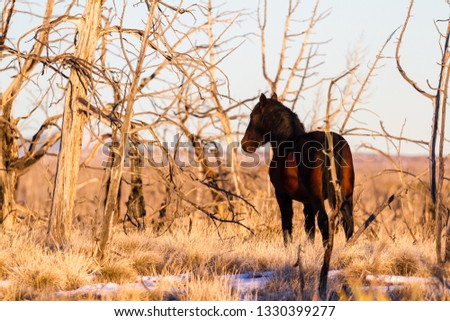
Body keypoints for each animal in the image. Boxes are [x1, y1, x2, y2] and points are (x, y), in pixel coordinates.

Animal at [241, 92, 354, 245]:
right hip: (346, 195)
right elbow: (309, 229)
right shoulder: (307, 202)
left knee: (324, 221)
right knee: (348, 224)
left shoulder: (282, 195)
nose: (244, 144)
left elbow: (287, 225)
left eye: (252, 116)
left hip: (317, 198)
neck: (286, 143)